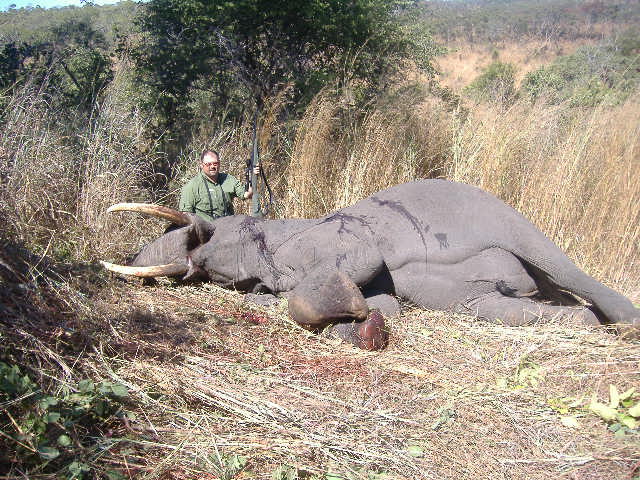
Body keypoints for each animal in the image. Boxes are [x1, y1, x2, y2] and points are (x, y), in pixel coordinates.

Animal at [101, 179, 640, 350]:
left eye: (211, 235)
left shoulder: (337, 236)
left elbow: (359, 261)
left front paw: (358, 316)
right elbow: (387, 302)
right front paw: (367, 324)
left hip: (511, 221)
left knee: (569, 272)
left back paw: (625, 324)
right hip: (487, 300)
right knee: (516, 307)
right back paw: (579, 320)